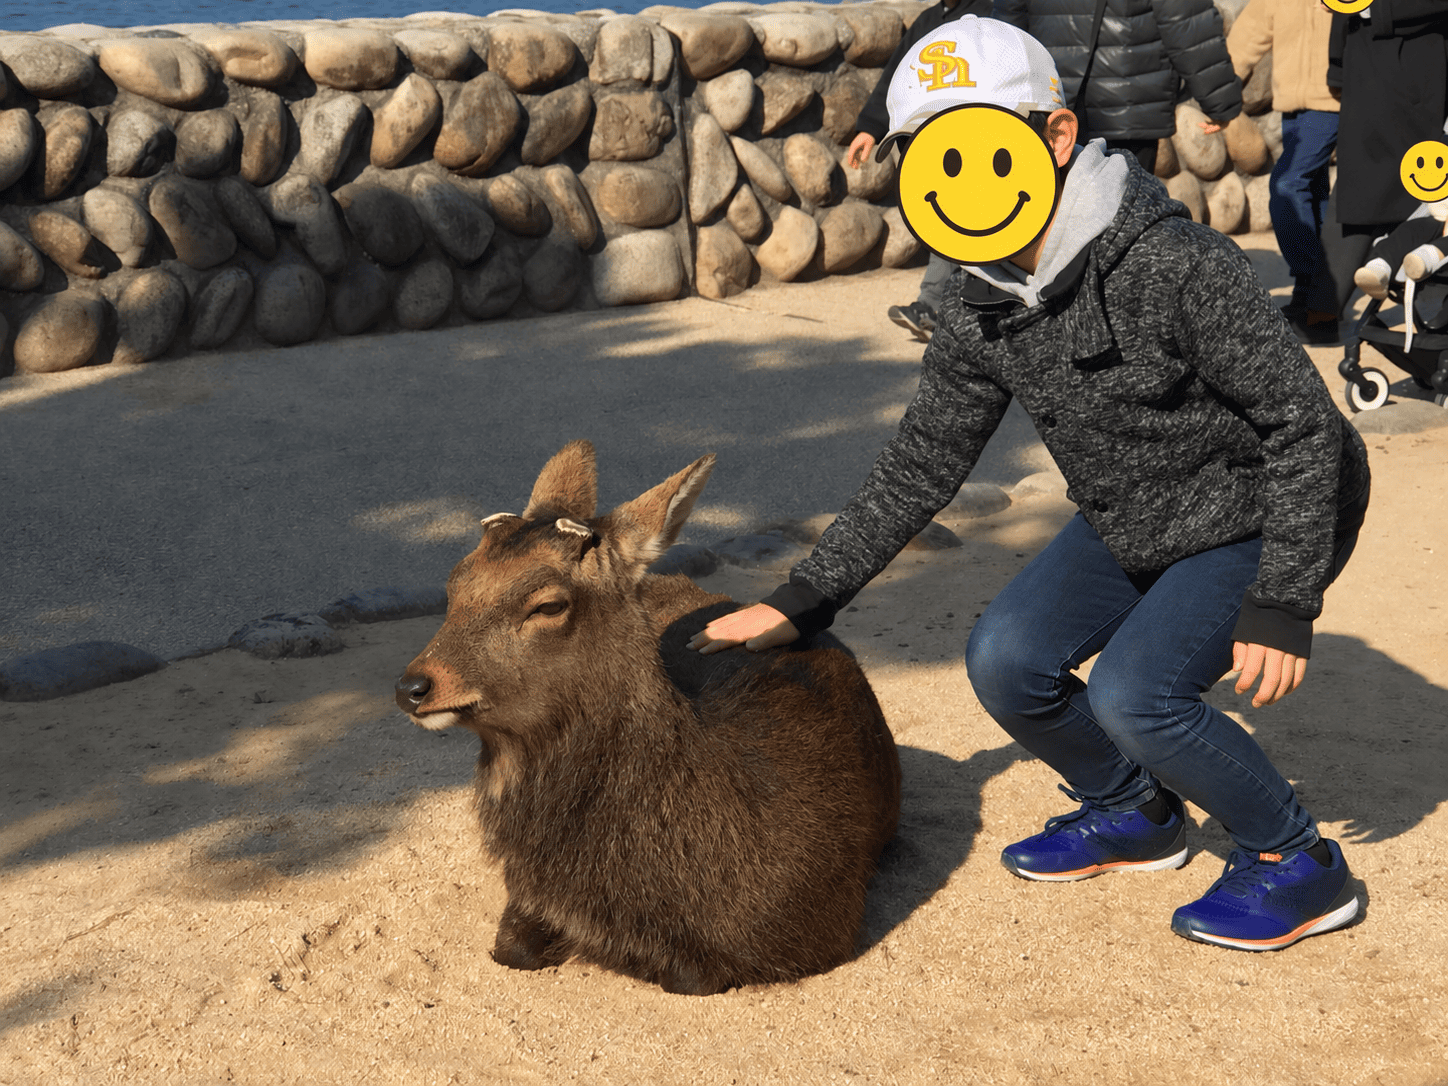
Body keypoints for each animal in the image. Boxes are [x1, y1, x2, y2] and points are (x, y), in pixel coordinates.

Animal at [393, 441, 901, 995]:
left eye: (548, 605)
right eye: (454, 581)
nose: (413, 687)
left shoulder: (817, 926)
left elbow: (684, 974)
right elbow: (511, 949)